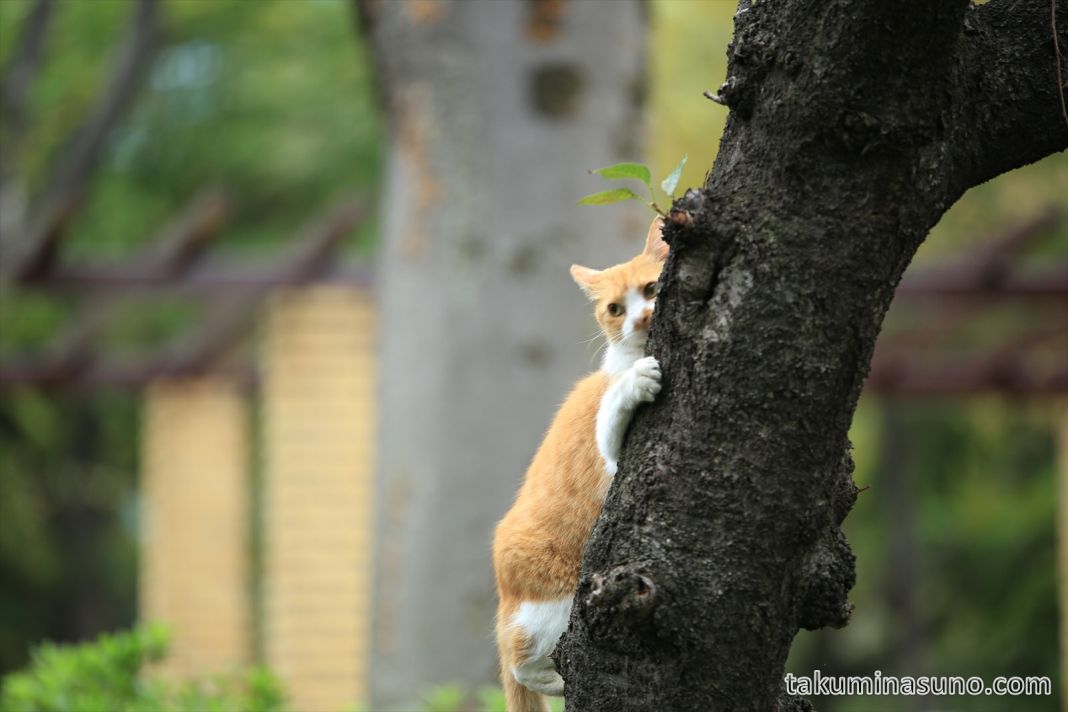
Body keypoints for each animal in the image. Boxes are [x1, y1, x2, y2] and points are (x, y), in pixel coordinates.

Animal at [493, 218, 666, 712]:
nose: (640, 319)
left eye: (651, 288)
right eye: (615, 309)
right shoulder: (609, 450)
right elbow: (613, 408)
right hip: (558, 601)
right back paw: (551, 677)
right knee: (518, 659)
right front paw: (635, 381)